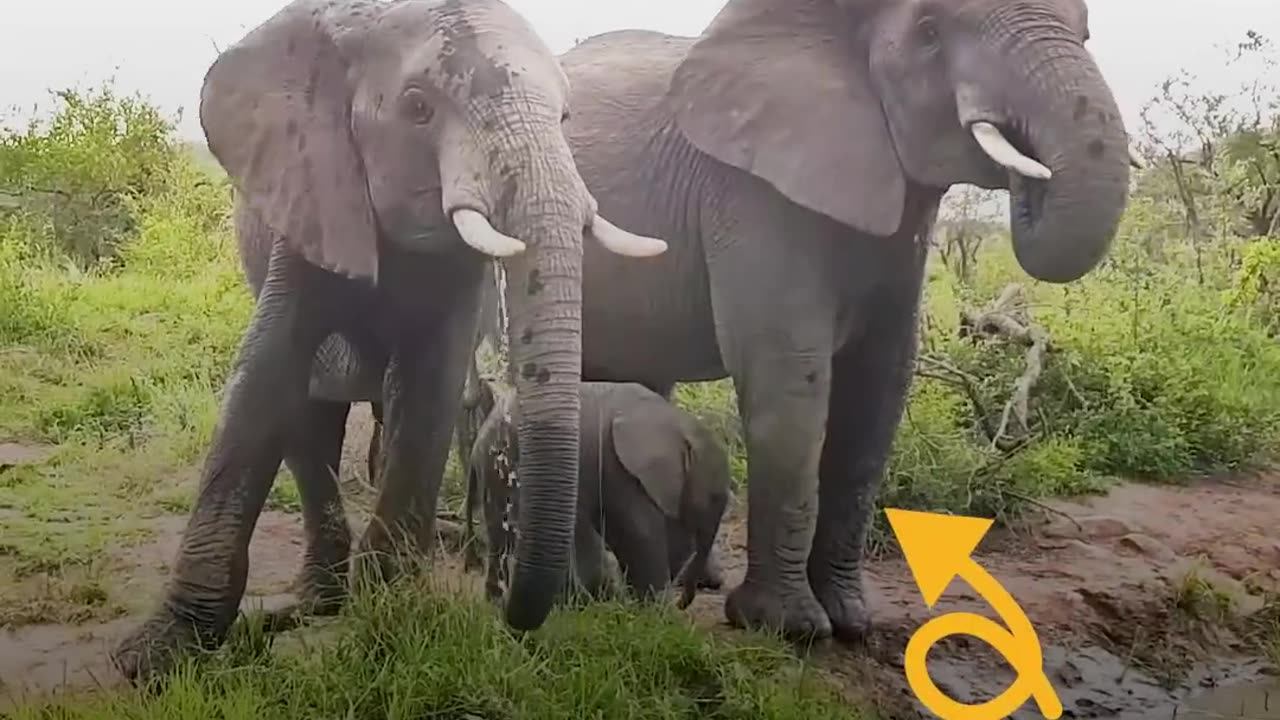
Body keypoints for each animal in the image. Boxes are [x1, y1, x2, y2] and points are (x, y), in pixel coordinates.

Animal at [468, 381, 737, 604]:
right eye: (715, 497)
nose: (684, 603)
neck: (680, 424)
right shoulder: (618, 467)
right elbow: (639, 531)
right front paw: (655, 609)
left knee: (501, 535)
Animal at [501, 0, 1141, 638]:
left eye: (1086, 29)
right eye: (930, 32)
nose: (1028, 176)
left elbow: (878, 386)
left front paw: (851, 621)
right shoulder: (752, 192)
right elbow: (787, 375)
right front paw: (790, 627)